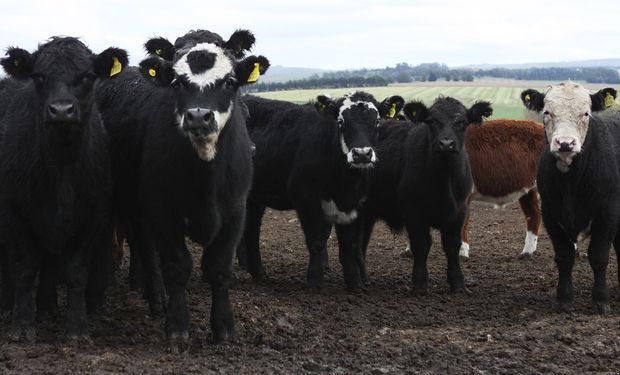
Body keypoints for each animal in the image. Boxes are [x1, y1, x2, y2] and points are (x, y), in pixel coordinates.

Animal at [0, 38, 127, 344]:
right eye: (38, 76)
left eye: (88, 76)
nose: (60, 110)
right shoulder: (12, 211)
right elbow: (23, 268)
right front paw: (22, 326)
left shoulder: (94, 214)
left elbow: (75, 272)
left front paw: (77, 329)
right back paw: (9, 306)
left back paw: (47, 307)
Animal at [98, 28, 268, 350]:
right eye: (177, 82)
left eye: (229, 81)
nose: (199, 115)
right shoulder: (162, 212)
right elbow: (176, 266)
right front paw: (177, 326)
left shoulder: (235, 212)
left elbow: (219, 268)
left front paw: (223, 327)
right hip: (132, 204)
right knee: (144, 247)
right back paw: (155, 295)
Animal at [240, 92, 404, 290]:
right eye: (340, 122)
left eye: (377, 121)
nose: (362, 154)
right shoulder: (305, 197)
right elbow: (317, 238)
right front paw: (315, 281)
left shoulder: (354, 203)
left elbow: (349, 244)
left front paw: (355, 284)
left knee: (252, 226)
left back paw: (258, 272)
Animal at [356, 97, 492, 294]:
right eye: (431, 121)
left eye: (461, 122)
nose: (446, 144)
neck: (444, 181)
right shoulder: (414, 213)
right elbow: (421, 245)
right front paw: (420, 284)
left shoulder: (460, 211)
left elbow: (452, 245)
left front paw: (458, 283)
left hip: (369, 212)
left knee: (363, 240)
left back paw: (364, 277)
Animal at [520, 83, 616, 314]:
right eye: (547, 112)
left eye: (586, 113)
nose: (565, 143)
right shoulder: (550, 214)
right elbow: (564, 256)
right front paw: (564, 299)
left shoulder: (608, 213)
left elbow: (599, 256)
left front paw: (601, 300)